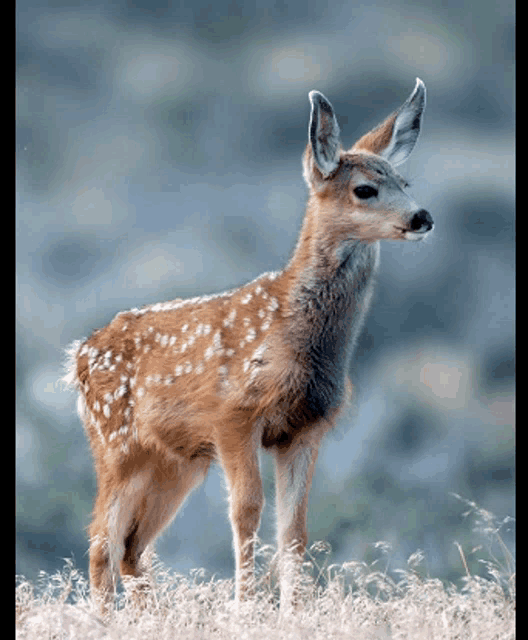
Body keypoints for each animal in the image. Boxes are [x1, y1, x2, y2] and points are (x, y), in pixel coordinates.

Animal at [64, 79, 434, 608]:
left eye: (405, 182)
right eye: (365, 189)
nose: (422, 216)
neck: (293, 335)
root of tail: (79, 354)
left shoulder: (306, 427)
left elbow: (294, 528)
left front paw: (293, 610)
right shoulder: (233, 415)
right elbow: (247, 511)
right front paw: (246, 606)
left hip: (175, 461)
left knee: (132, 544)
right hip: (114, 442)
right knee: (101, 540)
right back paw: (102, 618)